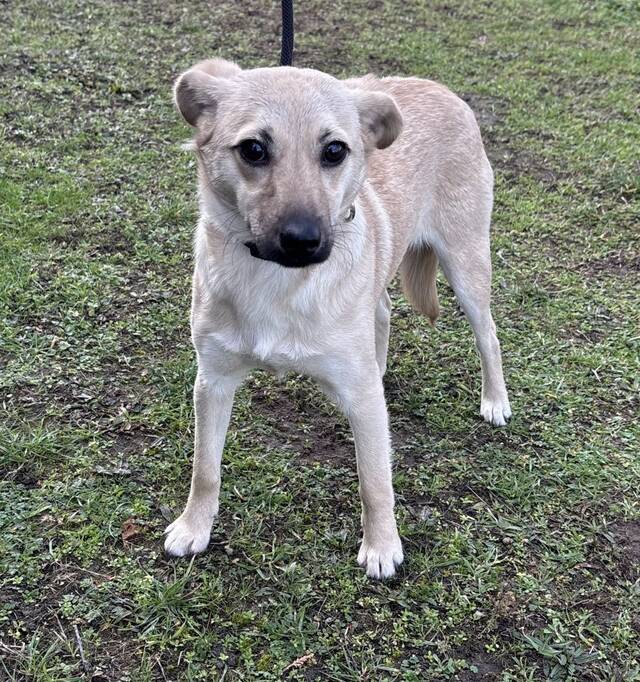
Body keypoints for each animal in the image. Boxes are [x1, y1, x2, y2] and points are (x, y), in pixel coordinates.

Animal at [163, 58, 511, 579]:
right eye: (253, 149)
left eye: (334, 150)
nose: (303, 239)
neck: (279, 283)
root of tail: (441, 90)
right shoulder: (214, 381)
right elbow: (205, 469)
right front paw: (194, 527)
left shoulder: (363, 404)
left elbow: (375, 479)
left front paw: (383, 544)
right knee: (382, 310)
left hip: (467, 263)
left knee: (488, 335)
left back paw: (495, 400)